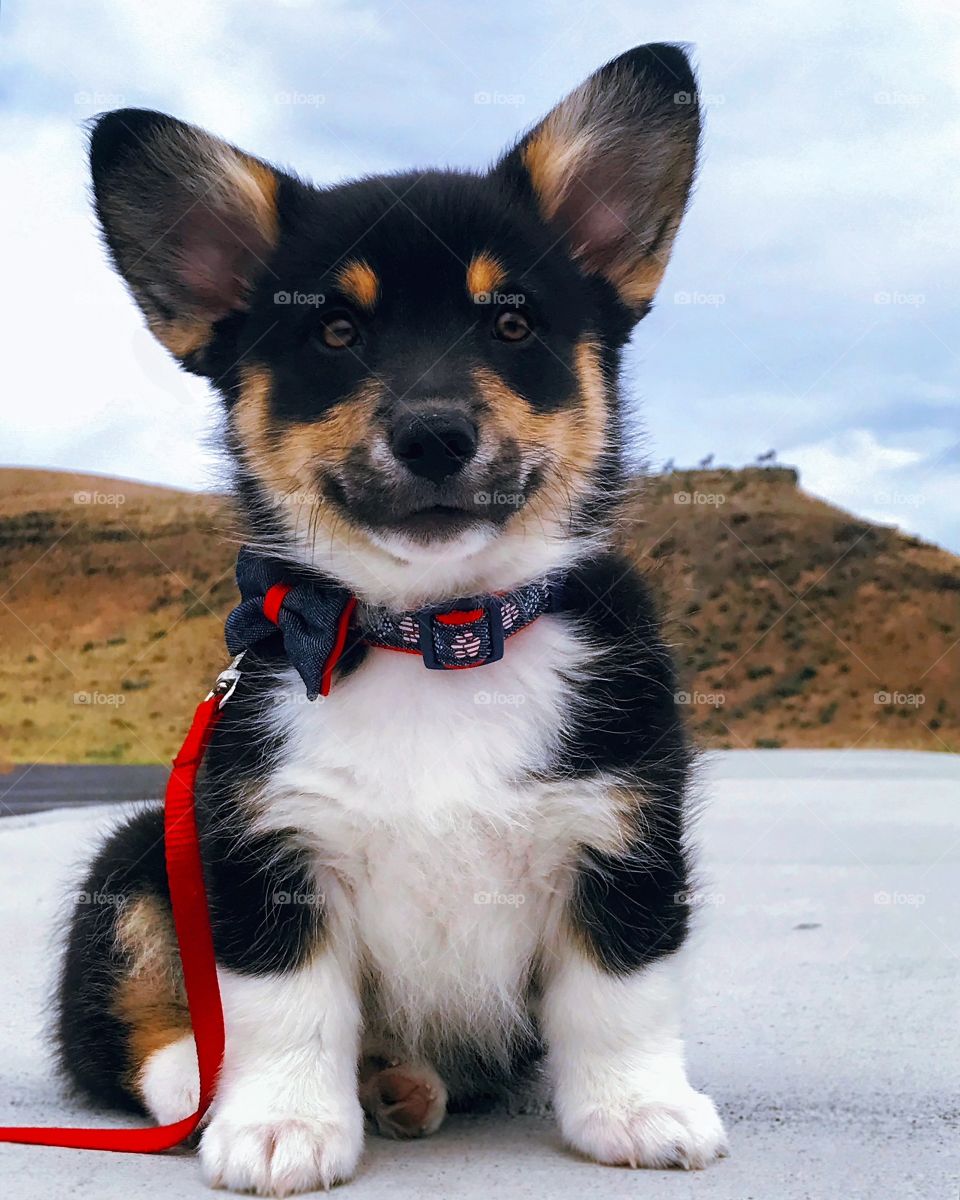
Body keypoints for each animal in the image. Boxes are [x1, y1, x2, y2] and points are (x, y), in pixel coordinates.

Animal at [58, 42, 729, 1195]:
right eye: (336, 330)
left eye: (511, 322)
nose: (434, 436)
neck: (435, 638)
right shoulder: (263, 842)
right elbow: (283, 1005)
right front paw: (279, 1123)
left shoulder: (624, 830)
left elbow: (621, 992)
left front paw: (638, 1110)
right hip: (141, 850)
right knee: (131, 1032)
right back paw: (209, 1082)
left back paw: (399, 1082)